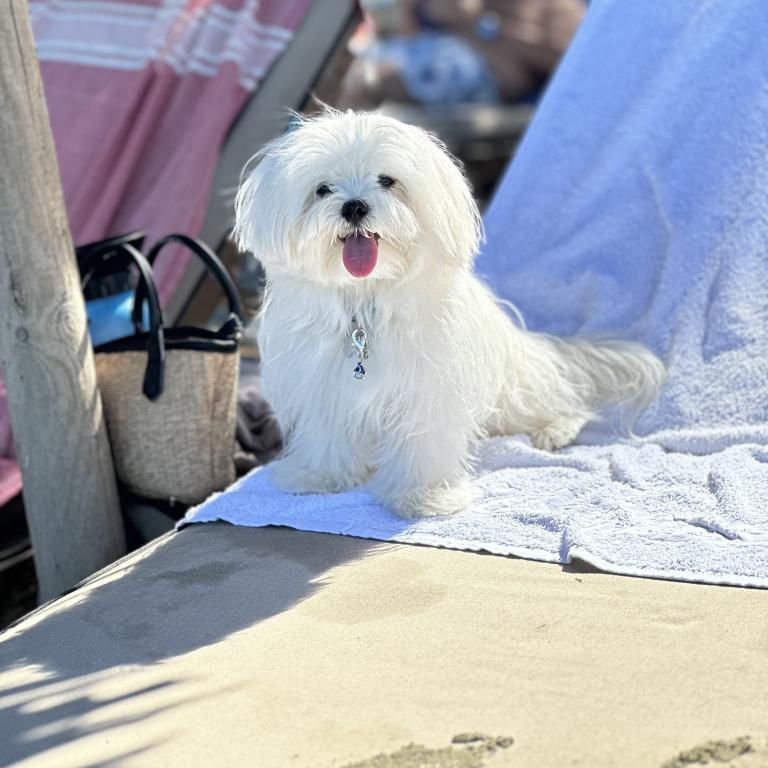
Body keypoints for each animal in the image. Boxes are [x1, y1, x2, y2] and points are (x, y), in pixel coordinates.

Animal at [236, 111, 664, 520]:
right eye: (323, 189)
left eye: (387, 181)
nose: (354, 206)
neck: (366, 299)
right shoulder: (324, 384)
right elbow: (329, 434)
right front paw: (322, 477)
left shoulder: (428, 386)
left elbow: (421, 441)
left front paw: (423, 496)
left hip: (515, 389)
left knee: (558, 399)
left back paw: (555, 427)